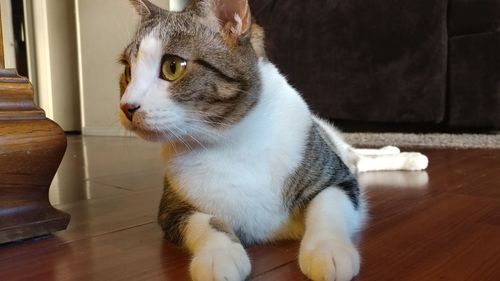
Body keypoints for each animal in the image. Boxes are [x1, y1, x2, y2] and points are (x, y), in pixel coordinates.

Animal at [119, 1, 428, 278]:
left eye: (173, 67)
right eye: (127, 71)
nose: (126, 106)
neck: (232, 141)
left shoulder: (337, 178)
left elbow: (328, 209)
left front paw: (327, 250)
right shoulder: (172, 209)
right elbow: (205, 222)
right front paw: (219, 255)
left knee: (356, 157)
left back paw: (407, 156)